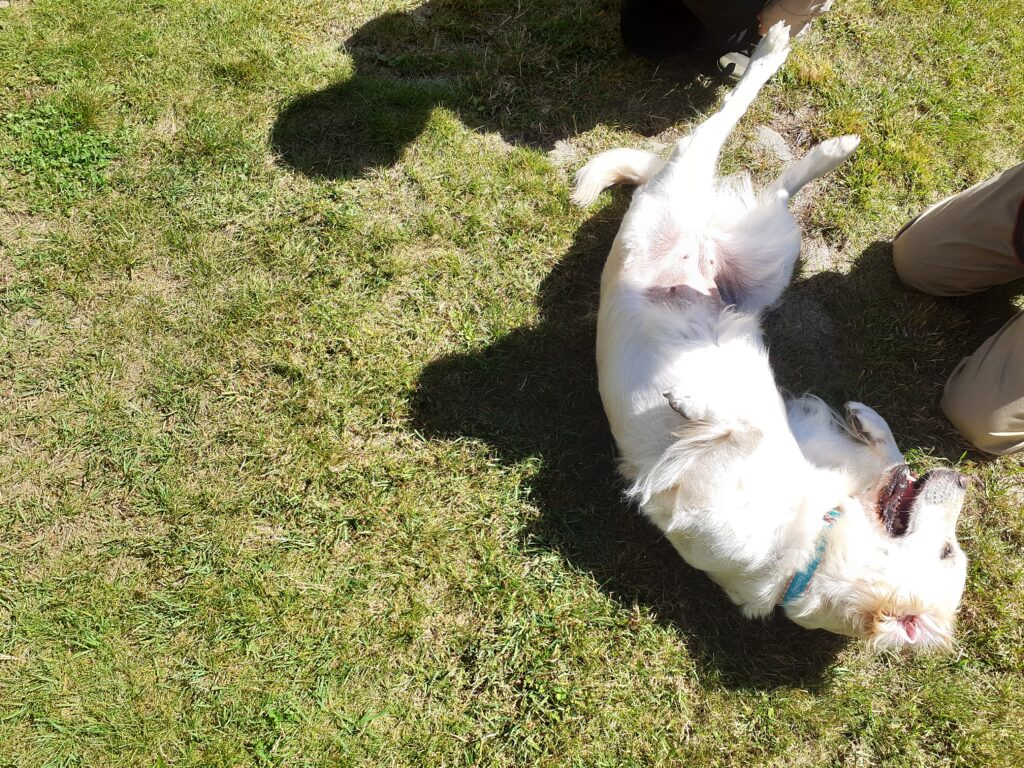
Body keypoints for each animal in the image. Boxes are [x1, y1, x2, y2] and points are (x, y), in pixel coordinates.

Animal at [577, 22, 966, 651]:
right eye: (949, 549)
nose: (958, 477)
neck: (814, 545)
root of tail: (702, 242)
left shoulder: (688, 490)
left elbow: (750, 426)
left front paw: (691, 403)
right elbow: (869, 451)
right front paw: (870, 422)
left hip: (737, 234)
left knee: (732, 139)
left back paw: (788, 76)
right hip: (766, 245)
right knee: (750, 149)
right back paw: (816, 115)